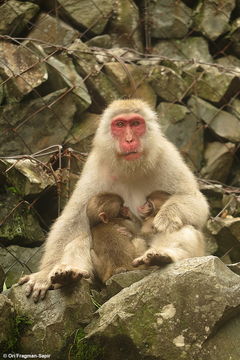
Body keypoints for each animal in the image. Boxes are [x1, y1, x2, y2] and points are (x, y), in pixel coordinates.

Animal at [19, 98, 208, 300]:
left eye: (136, 123)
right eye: (120, 125)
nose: (129, 140)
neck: (130, 168)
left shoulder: (167, 156)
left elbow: (194, 200)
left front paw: (166, 215)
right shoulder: (95, 167)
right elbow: (73, 219)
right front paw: (44, 275)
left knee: (184, 227)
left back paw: (162, 255)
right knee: (81, 236)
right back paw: (67, 275)